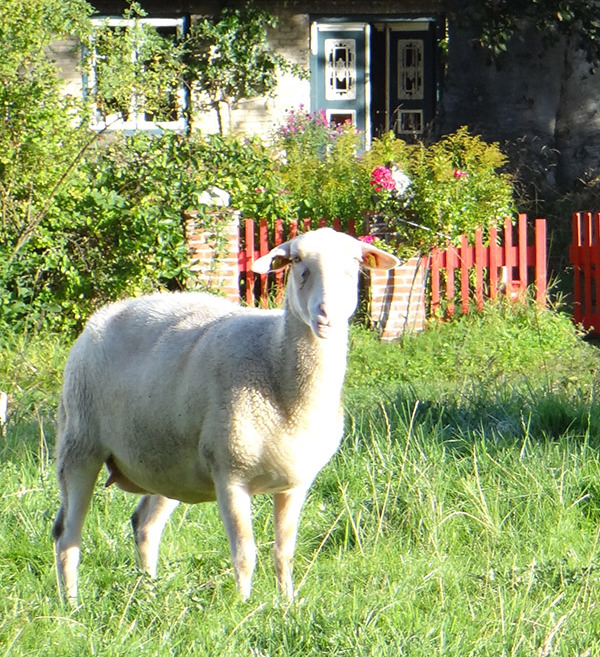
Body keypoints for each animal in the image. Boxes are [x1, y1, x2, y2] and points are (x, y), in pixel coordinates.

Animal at [52, 227, 399, 604]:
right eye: (296, 262)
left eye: (355, 263)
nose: (326, 315)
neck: (276, 365)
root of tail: (105, 313)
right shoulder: (230, 476)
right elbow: (245, 552)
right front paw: (243, 606)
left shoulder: (296, 482)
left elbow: (285, 551)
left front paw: (287, 604)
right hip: (80, 442)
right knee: (66, 534)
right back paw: (71, 604)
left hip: (167, 463)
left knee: (144, 523)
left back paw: (150, 592)